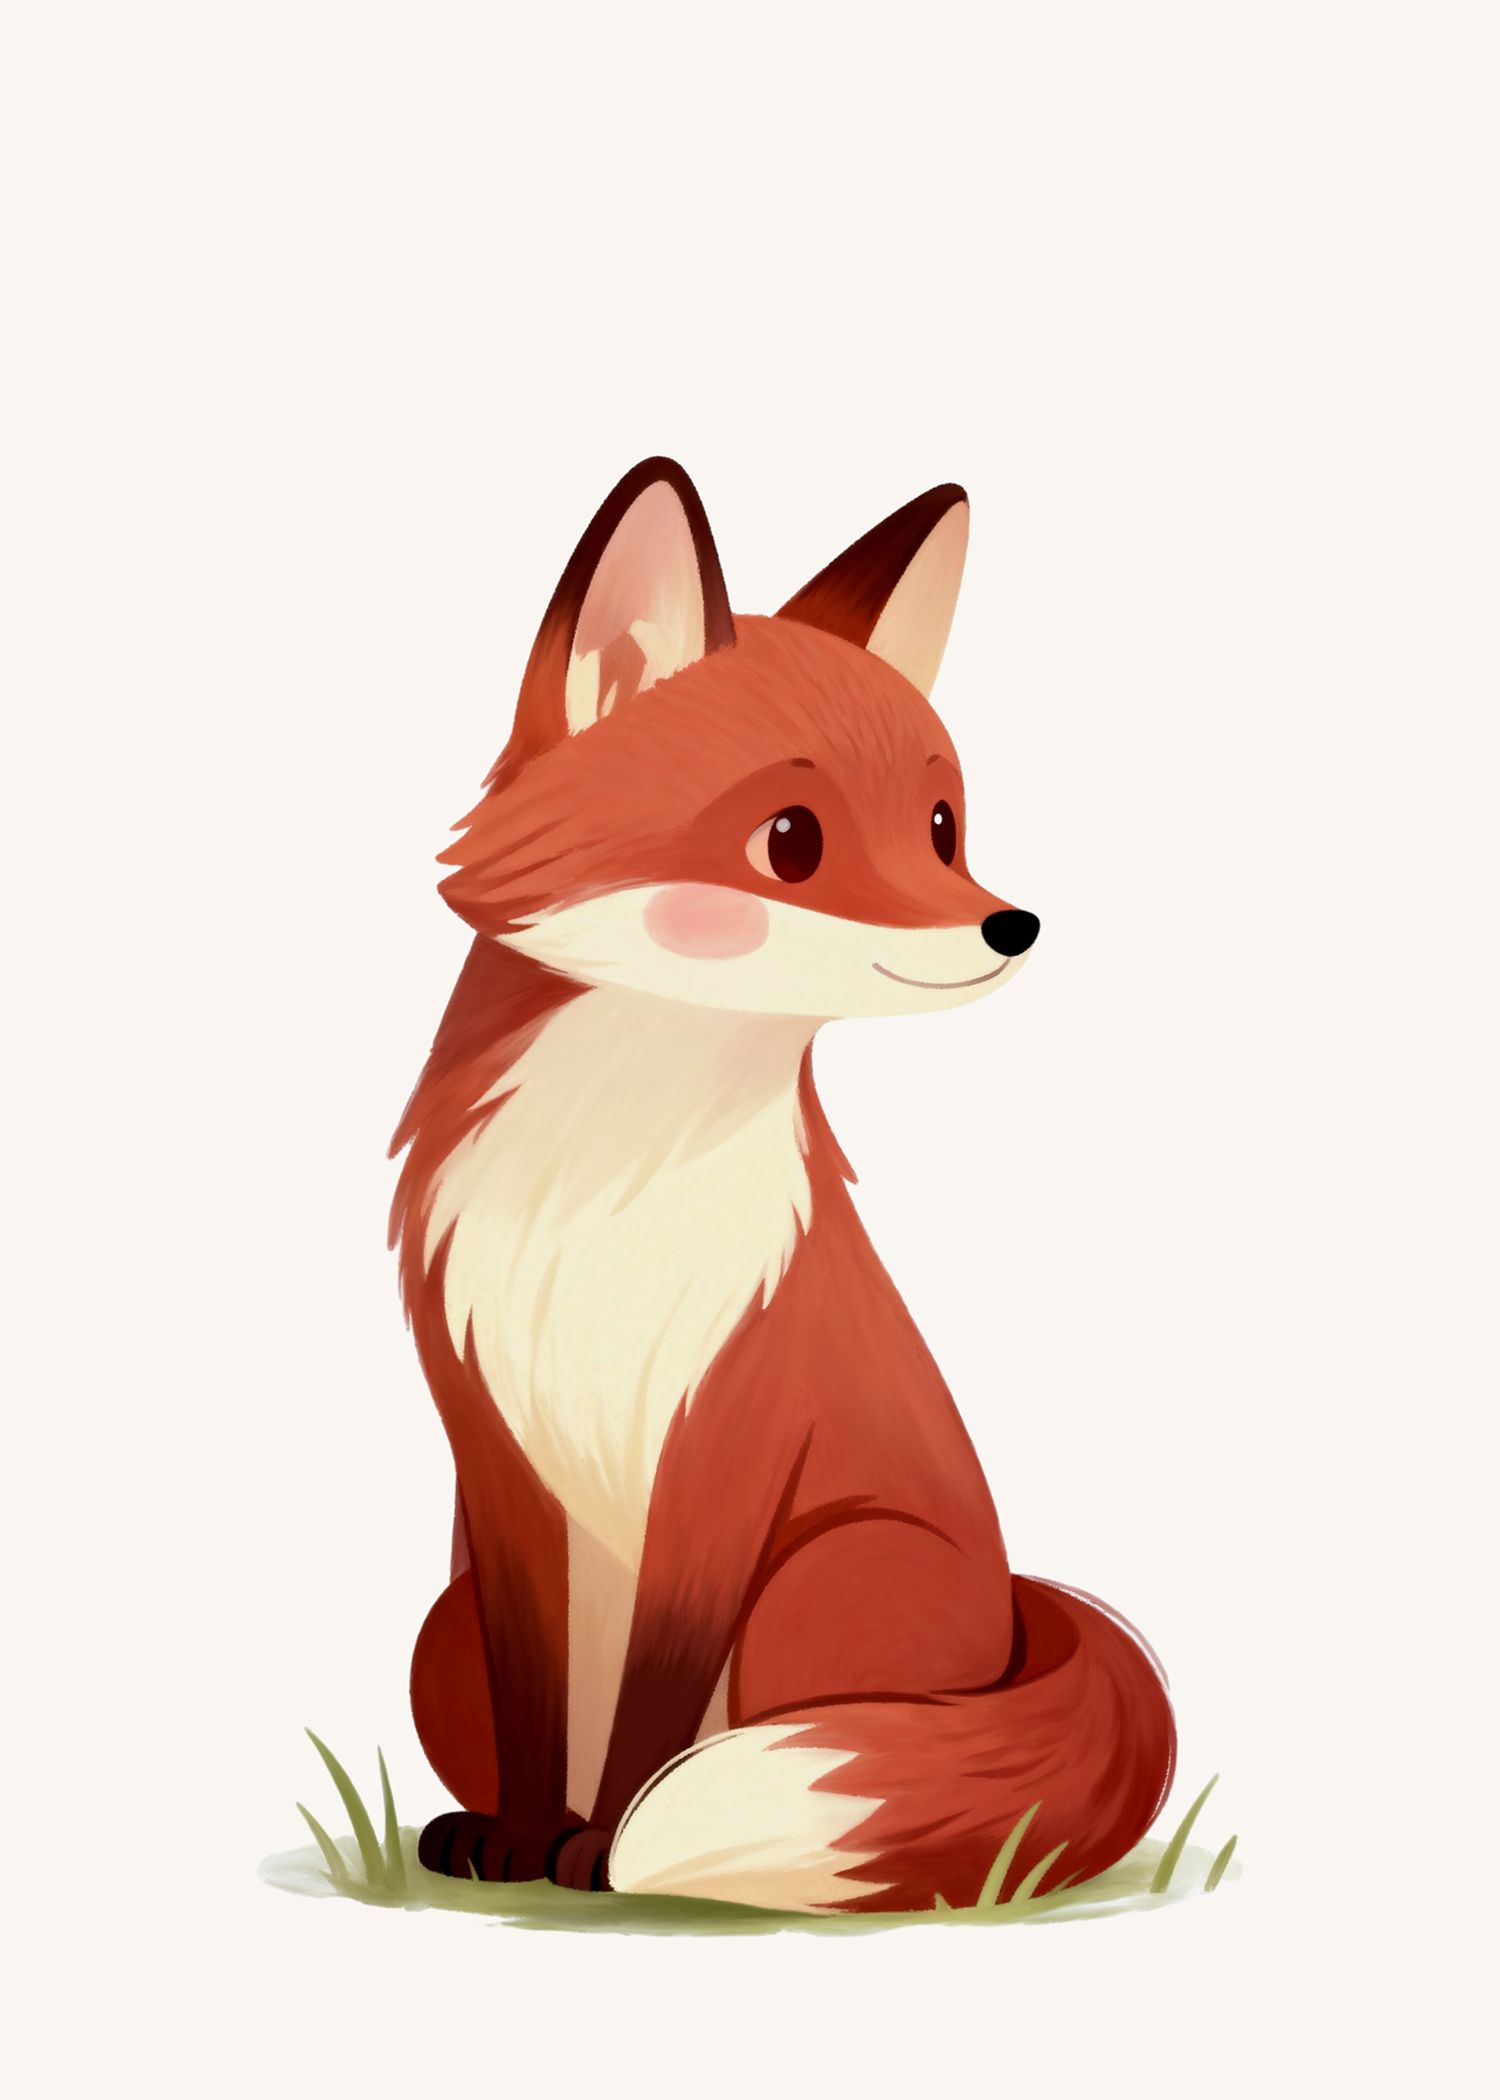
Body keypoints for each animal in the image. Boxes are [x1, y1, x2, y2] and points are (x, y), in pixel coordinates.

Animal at [389, 458, 1176, 1912]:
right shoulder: (498, 1456)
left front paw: (599, 1850)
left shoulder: (729, 1443)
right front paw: (523, 1838)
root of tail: (1018, 1605)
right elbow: (539, 1702)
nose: (1013, 924)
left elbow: (654, 1711)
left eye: (944, 826)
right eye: (791, 839)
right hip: (441, 1632)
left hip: (824, 1585)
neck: (607, 1202)